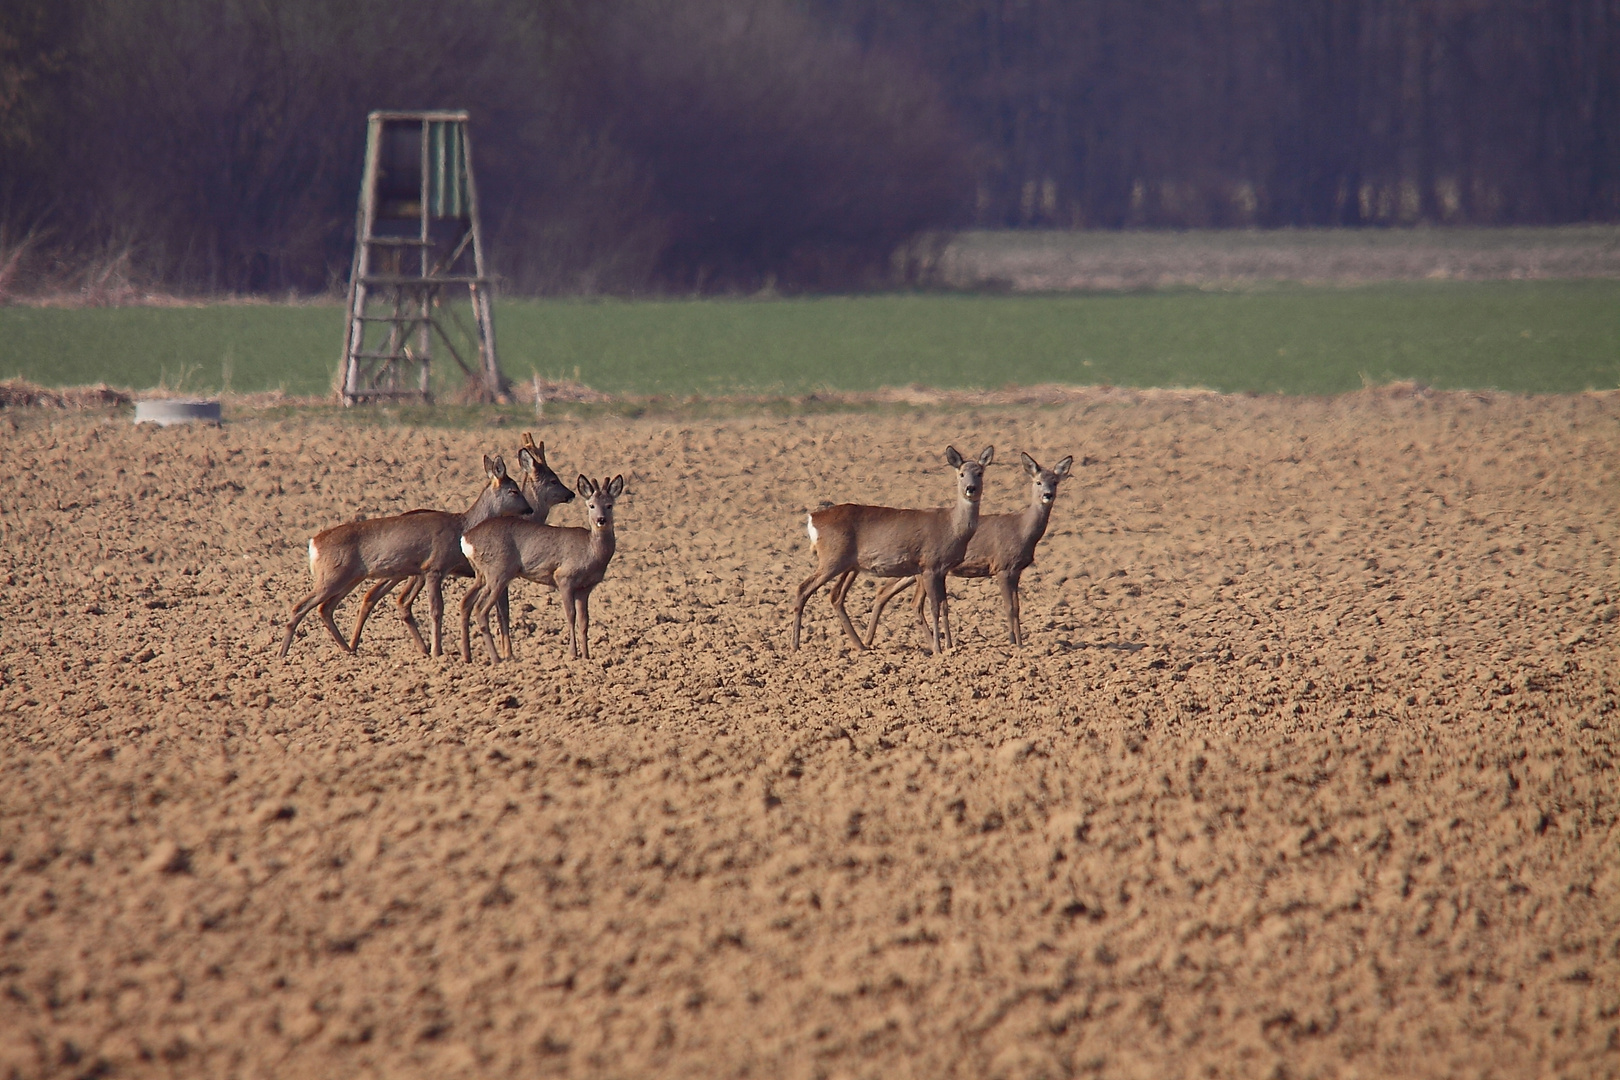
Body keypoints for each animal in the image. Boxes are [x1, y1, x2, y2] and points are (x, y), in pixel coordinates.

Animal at [280, 453, 531, 660]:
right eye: (513, 490)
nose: (529, 510)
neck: (461, 526)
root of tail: (314, 543)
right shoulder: (434, 567)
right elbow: (436, 609)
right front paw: (437, 652)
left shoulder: (430, 571)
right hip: (332, 576)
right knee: (300, 606)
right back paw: (282, 654)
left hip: (349, 578)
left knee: (326, 608)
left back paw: (348, 650)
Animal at [340, 433, 570, 654]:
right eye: (553, 480)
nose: (571, 493)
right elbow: (503, 612)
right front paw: (508, 653)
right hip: (408, 572)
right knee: (390, 598)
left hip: (403, 572)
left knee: (377, 596)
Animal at [466, 476, 628, 663]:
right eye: (591, 505)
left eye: (609, 505)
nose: (601, 520)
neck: (591, 551)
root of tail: (467, 539)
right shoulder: (564, 577)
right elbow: (570, 615)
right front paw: (572, 654)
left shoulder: (585, 588)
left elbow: (584, 620)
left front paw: (587, 656)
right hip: (498, 573)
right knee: (480, 609)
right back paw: (496, 659)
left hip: (484, 575)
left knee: (469, 604)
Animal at [790, 443, 991, 654]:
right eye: (961, 474)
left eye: (980, 472)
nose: (970, 488)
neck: (952, 527)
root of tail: (813, 518)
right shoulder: (929, 565)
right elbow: (934, 607)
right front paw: (938, 649)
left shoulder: (942, 570)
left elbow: (945, 607)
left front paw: (950, 647)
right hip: (832, 559)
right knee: (803, 588)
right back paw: (795, 645)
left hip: (849, 565)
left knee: (835, 596)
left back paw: (861, 645)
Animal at [861, 450, 1075, 647]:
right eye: (1038, 482)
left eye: (1055, 482)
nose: (1048, 495)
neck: (1022, 529)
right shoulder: (1002, 566)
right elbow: (1010, 607)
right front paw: (1016, 644)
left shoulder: (1016, 571)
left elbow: (1016, 606)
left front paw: (1018, 643)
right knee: (909, 601)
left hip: (912, 571)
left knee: (885, 591)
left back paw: (868, 640)